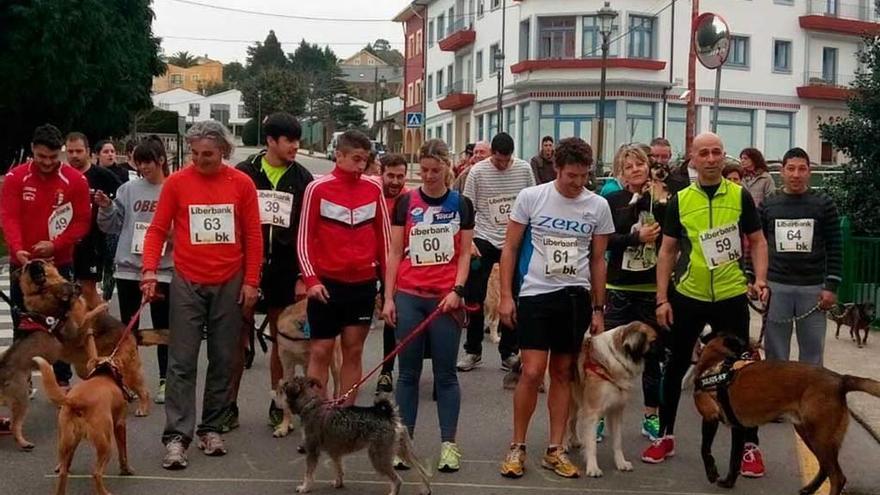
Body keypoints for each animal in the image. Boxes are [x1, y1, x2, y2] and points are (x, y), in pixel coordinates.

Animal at [19, 262, 151, 416]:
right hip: (85, 369)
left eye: (41, 264)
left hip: (127, 369)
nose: (33, 264)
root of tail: (130, 332)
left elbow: (87, 320)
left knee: (143, 390)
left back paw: (142, 406)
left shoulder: (79, 332)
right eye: (27, 267)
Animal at [33, 302, 132, 495]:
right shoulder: (120, 425)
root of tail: (76, 401)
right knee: (96, 473)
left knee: (63, 472)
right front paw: (126, 470)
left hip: (64, 439)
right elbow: (123, 452)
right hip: (105, 443)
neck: (105, 373)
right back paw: (104, 492)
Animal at [696, 336, 880, 494]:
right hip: (809, 434)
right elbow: (734, 460)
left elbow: (705, 449)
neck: (716, 365)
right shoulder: (738, 428)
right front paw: (729, 482)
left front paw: (712, 474)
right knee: (825, 468)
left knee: (837, 477)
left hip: (819, 438)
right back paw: (809, 489)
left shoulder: (710, 417)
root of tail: (841, 380)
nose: (752, 348)